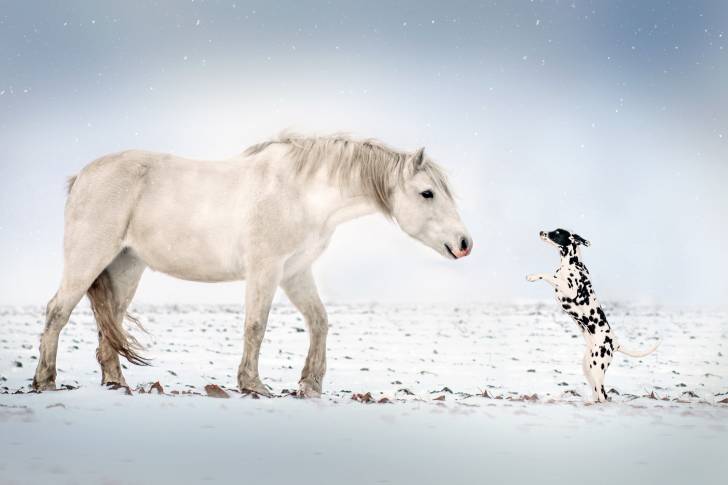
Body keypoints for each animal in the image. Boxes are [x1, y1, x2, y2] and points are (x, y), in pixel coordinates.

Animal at [33, 134, 473, 397]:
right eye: (428, 193)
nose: (464, 244)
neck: (301, 193)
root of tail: (82, 176)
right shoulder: (267, 268)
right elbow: (256, 325)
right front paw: (253, 385)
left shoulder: (295, 272)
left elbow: (319, 321)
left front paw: (311, 384)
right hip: (88, 258)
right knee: (57, 312)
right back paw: (45, 380)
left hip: (125, 269)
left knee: (111, 323)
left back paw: (115, 383)